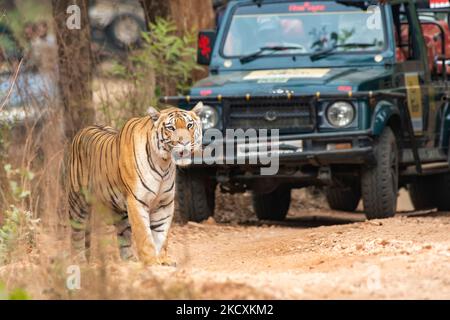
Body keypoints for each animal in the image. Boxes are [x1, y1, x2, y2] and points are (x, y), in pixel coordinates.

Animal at [67, 102, 204, 264]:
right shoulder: (137, 201)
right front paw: (151, 261)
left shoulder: (164, 203)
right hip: (77, 201)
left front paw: (163, 259)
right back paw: (79, 261)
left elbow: (161, 234)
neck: (163, 163)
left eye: (190, 125)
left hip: (119, 210)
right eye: (171, 128)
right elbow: (144, 235)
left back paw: (130, 261)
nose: (185, 142)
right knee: (77, 233)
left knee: (123, 236)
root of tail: (82, 130)